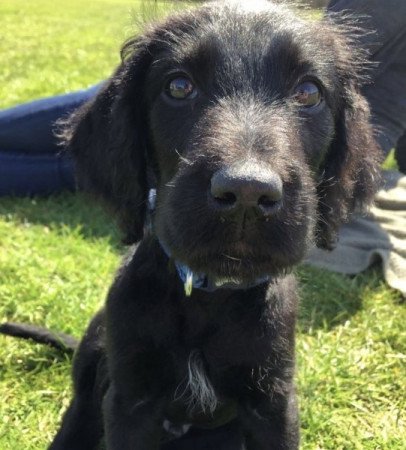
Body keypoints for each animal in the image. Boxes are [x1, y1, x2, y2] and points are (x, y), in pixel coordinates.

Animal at [3, 0, 382, 450]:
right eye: (179, 87)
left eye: (309, 92)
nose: (247, 192)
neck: (210, 295)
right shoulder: (129, 402)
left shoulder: (274, 402)